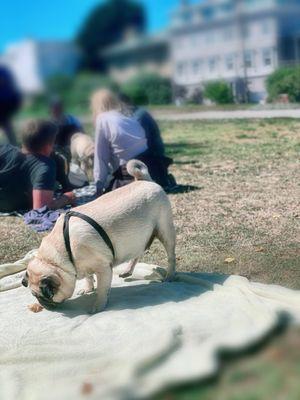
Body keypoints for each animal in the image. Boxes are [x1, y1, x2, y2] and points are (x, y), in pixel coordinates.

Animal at [22, 159, 176, 312]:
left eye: (43, 296)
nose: (42, 304)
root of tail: (144, 180)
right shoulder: (82, 265)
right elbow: (88, 277)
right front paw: (88, 288)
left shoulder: (103, 268)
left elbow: (102, 289)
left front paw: (98, 306)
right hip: (138, 239)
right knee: (137, 253)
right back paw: (128, 270)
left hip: (165, 231)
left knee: (171, 256)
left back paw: (169, 276)